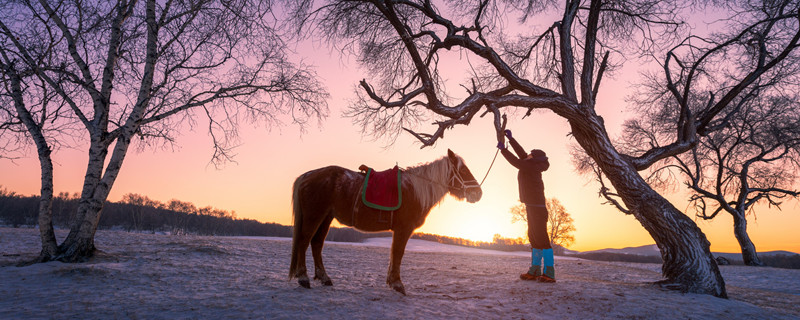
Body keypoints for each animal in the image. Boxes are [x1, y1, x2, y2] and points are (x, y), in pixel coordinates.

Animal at [290, 149, 484, 294]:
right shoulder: (403, 228)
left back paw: (324, 278)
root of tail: (308, 175)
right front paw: (397, 284)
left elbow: (393, 254)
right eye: (464, 171)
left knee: (316, 244)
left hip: (326, 218)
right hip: (314, 216)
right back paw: (303, 277)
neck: (416, 189)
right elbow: (398, 253)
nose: (478, 193)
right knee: (304, 241)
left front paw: (391, 281)